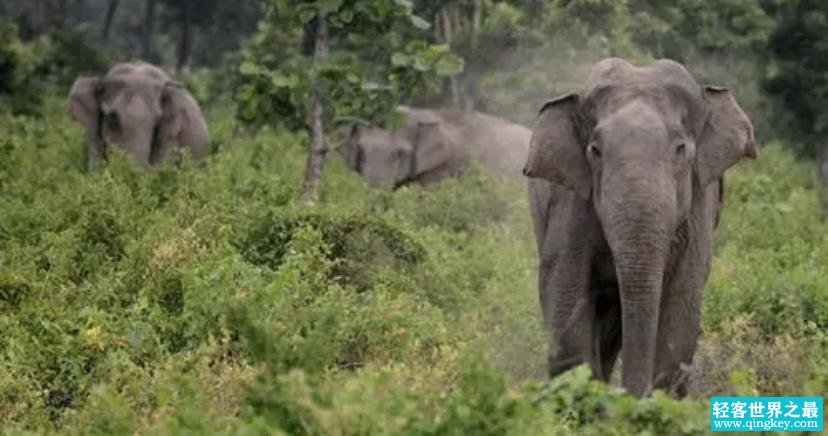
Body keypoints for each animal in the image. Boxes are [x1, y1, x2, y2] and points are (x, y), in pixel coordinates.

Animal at [524, 58, 756, 398]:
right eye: (595, 151)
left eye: (680, 150)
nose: (631, 395)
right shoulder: (571, 202)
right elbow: (566, 291)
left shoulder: (699, 203)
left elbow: (682, 306)